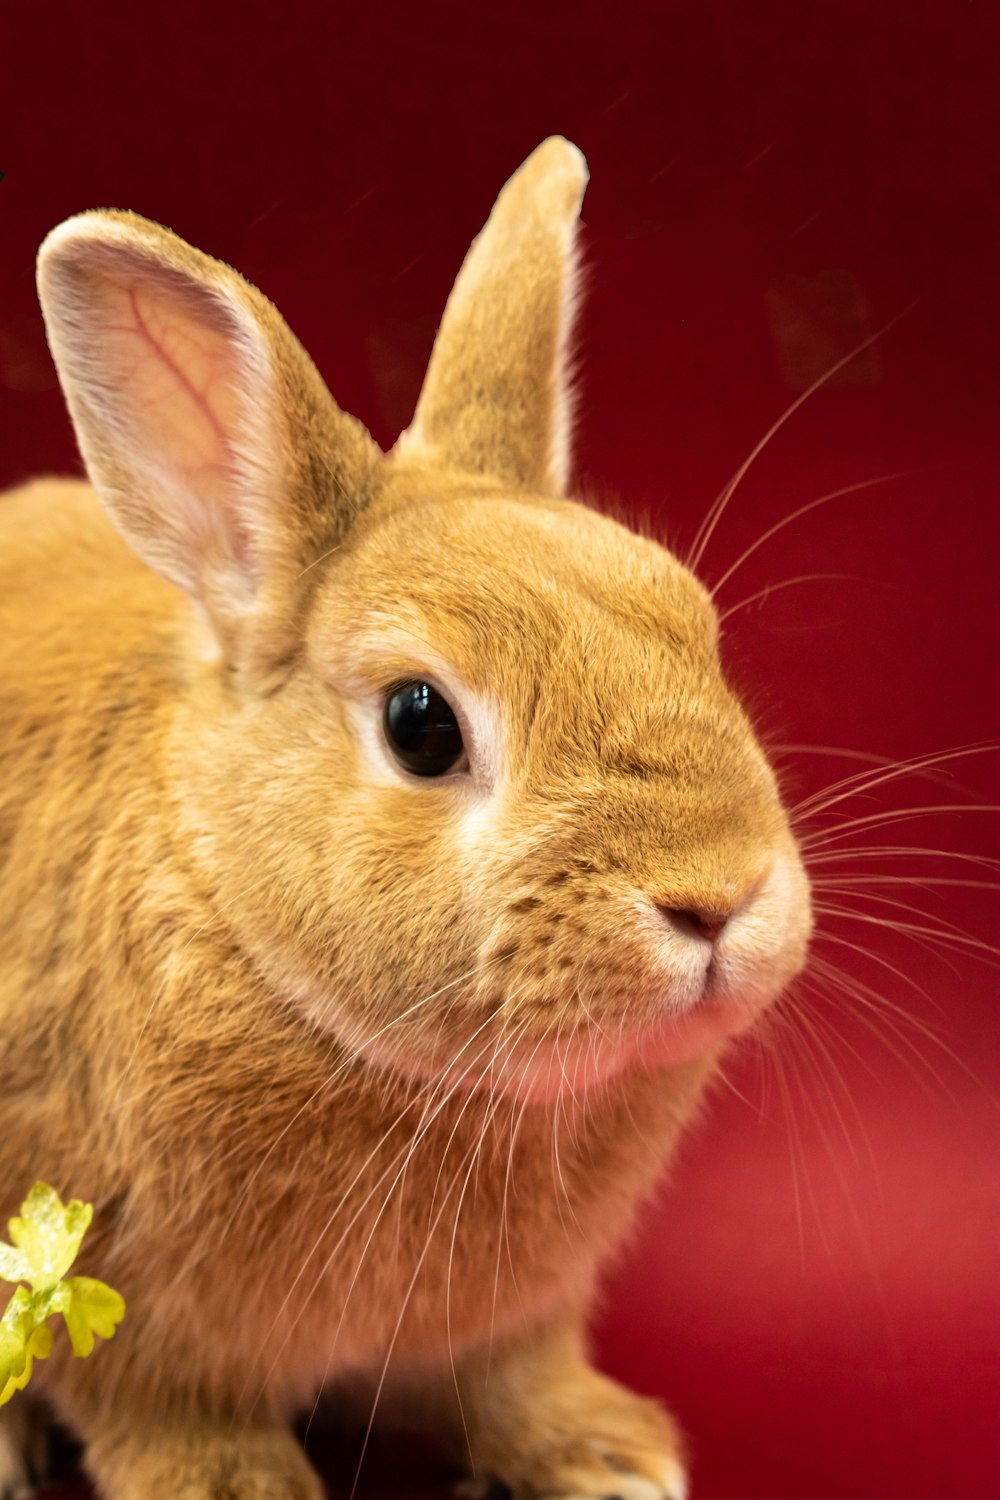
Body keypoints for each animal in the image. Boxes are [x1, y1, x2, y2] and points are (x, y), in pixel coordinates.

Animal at [0, 132, 809, 1500]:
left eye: (692, 628)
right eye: (421, 724)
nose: (718, 893)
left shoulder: (511, 1321)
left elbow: (515, 1380)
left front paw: (609, 1459)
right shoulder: (139, 1336)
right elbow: (169, 1421)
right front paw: (243, 1492)